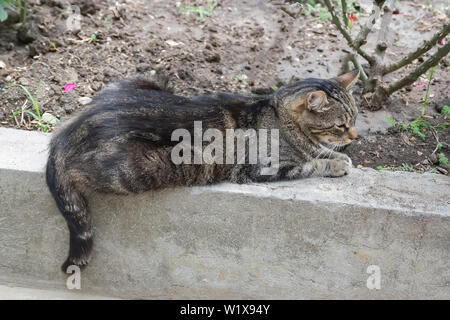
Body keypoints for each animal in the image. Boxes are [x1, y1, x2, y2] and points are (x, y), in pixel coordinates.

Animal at [47, 70, 360, 270]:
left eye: (356, 119)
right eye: (341, 125)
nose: (355, 136)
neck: (277, 113)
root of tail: (64, 136)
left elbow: (317, 152)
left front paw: (336, 154)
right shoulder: (262, 169)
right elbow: (311, 163)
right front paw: (337, 162)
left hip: (152, 78)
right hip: (135, 169)